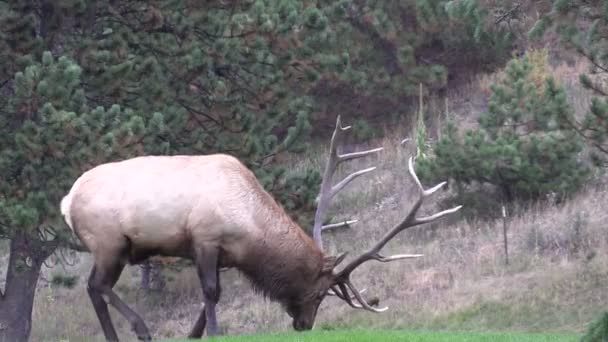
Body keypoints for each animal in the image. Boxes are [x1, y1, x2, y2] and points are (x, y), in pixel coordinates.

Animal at [61, 116, 460, 340]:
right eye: (320, 293)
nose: (304, 325)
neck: (249, 231)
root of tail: (67, 201)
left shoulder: (222, 253)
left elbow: (213, 297)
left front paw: (194, 334)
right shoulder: (204, 238)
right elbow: (210, 293)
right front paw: (214, 334)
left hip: (112, 248)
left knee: (93, 288)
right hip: (110, 242)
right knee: (98, 285)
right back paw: (141, 329)